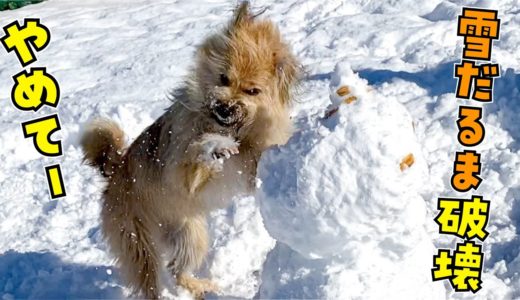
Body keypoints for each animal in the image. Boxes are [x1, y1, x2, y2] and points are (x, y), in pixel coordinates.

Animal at [82, 2, 300, 300]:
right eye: (224, 78)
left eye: (252, 91)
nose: (224, 107)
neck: (234, 131)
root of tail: (114, 171)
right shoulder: (181, 171)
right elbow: (195, 158)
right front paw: (215, 147)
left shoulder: (251, 163)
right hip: (138, 240)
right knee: (151, 278)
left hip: (189, 234)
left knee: (177, 269)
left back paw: (201, 287)